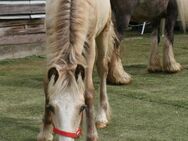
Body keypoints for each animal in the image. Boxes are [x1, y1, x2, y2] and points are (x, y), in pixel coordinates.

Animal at [37, 0, 117, 141]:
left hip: (103, 33)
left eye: (82, 107)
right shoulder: (51, 42)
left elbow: (88, 91)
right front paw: (45, 133)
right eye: (51, 107)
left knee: (102, 70)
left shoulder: (90, 44)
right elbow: (47, 86)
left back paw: (101, 117)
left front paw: (92, 135)